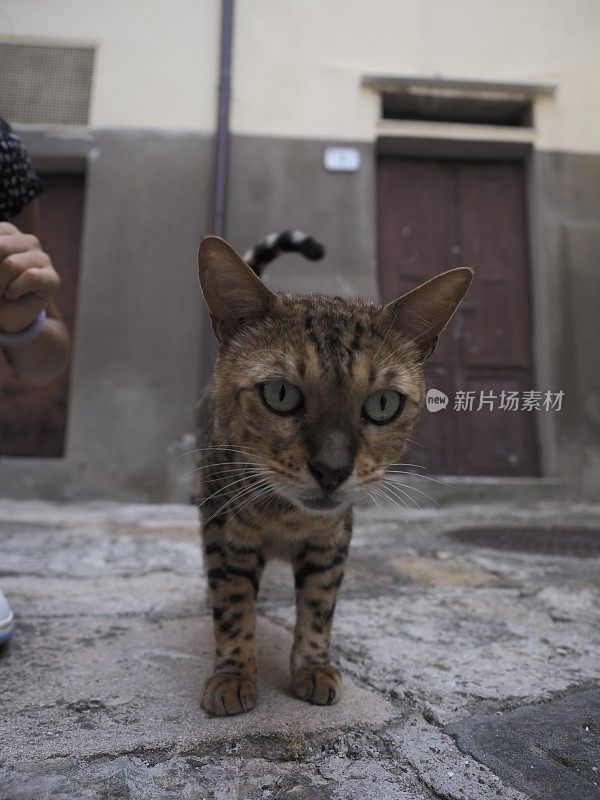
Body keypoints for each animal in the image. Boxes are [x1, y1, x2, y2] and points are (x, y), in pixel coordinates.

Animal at [195, 228, 472, 716]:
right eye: (280, 394)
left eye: (383, 404)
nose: (332, 468)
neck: (286, 517)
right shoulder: (225, 531)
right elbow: (232, 605)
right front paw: (232, 676)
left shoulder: (332, 538)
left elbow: (319, 605)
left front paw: (313, 667)